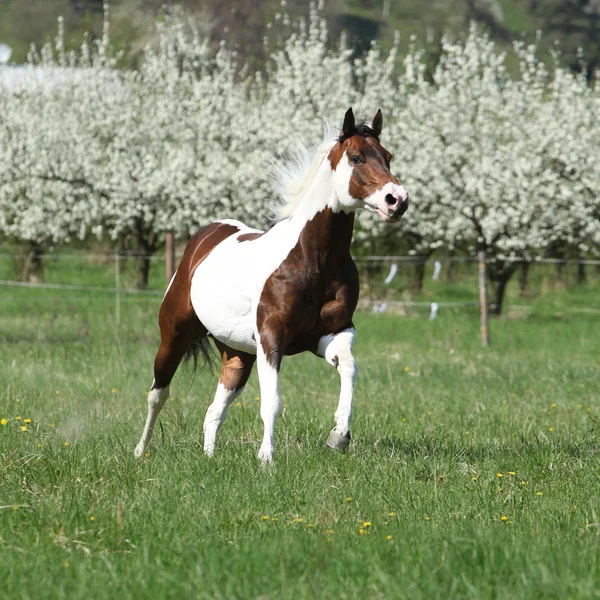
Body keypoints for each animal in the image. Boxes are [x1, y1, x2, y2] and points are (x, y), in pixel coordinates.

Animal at [135, 108, 408, 464]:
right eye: (356, 157)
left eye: (387, 157)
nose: (397, 201)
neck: (313, 259)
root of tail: (204, 239)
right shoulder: (271, 338)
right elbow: (272, 402)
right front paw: (267, 459)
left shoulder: (331, 334)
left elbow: (349, 368)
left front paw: (338, 437)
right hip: (174, 336)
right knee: (158, 394)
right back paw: (140, 451)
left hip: (237, 355)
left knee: (213, 411)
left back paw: (209, 459)